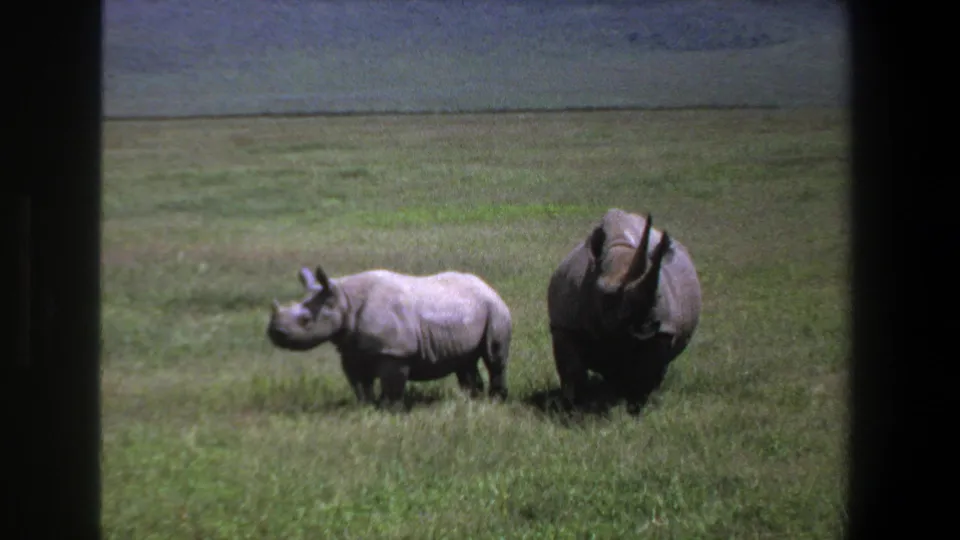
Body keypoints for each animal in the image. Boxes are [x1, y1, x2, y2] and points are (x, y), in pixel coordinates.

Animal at [266, 265, 512, 408]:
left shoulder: (395, 351)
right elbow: (359, 385)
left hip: (495, 309)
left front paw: (389, 412)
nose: (273, 333)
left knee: (494, 358)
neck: (344, 299)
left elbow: (392, 386)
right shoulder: (351, 349)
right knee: (465, 361)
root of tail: (488, 286)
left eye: (305, 320)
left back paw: (495, 402)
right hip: (467, 311)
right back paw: (473, 401)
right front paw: (365, 408)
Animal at [546, 208, 702, 408]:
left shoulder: (664, 330)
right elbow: (572, 370)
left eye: (658, 296)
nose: (647, 326)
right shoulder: (565, 324)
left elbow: (647, 371)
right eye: (607, 298)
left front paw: (636, 405)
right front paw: (574, 405)